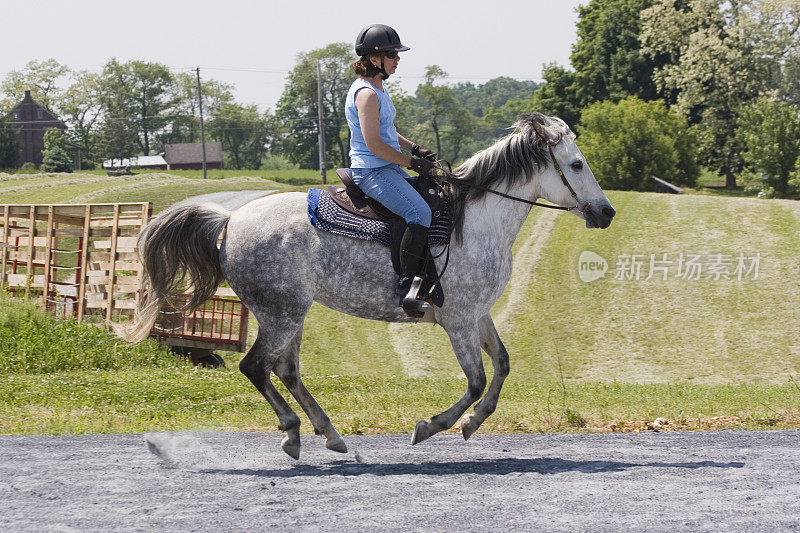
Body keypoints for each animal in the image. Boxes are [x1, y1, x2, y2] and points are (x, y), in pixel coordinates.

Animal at [119, 112, 616, 458]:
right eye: (577, 164)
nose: (607, 212)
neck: (473, 222)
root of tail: (229, 220)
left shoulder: (477, 314)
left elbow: (503, 367)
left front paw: (473, 424)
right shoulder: (457, 320)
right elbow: (476, 381)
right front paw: (430, 427)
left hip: (290, 313)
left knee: (286, 370)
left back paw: (329, 434)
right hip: (281, 312)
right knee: (256, 367)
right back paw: (294, 434)